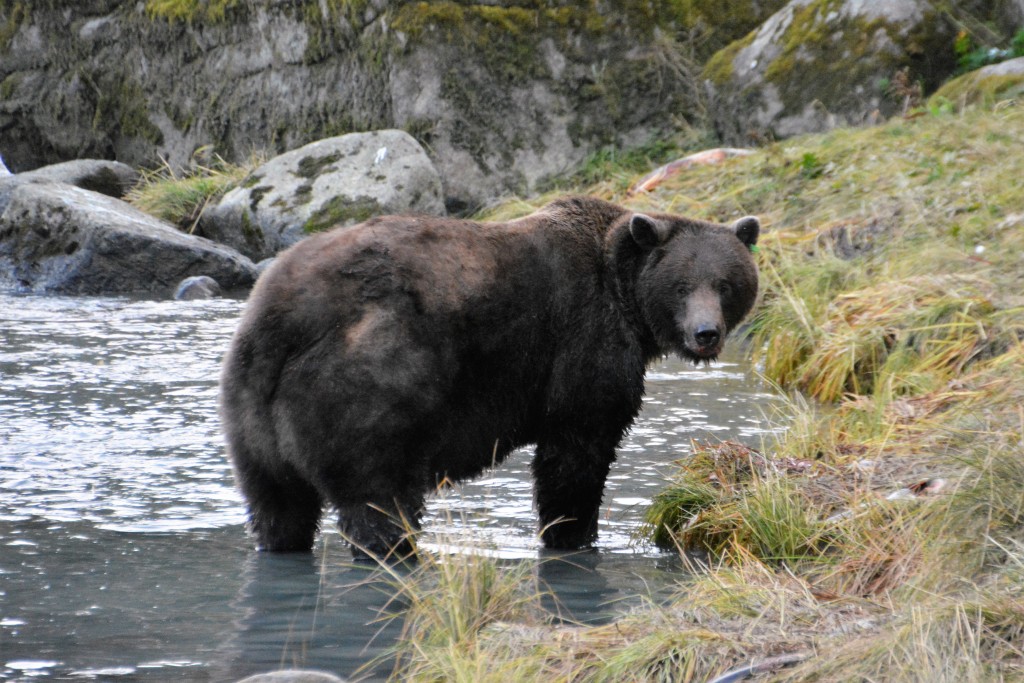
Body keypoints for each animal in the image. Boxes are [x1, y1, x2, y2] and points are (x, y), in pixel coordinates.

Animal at [220, 194, 757, 557]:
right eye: (682, 284)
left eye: (726, 283)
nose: (706, 333)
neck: (626, 300)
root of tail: (281, 317)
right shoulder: (583, 342)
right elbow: (577, 452)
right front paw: (574, 535)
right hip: (368, 386)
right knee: (379, 499)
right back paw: (394, 554)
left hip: (251, 413)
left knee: (277, 505)